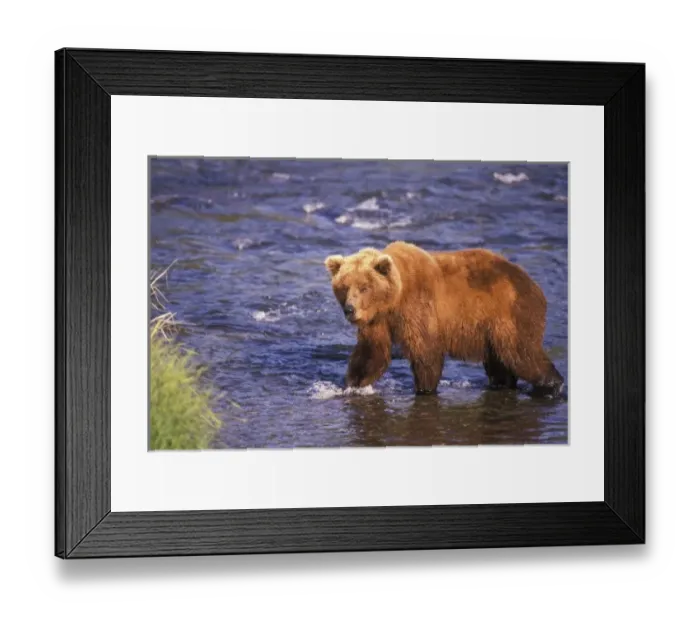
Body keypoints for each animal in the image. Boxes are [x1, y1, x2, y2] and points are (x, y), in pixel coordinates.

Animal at [324, 241, 563, 396]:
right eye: (344, 287)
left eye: (364, 287)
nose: (350, 309)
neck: (394, 300)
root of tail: (533, 284)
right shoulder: (378, 320)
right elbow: (372, 353)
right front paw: (352, 385)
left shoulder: (418, 307)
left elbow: (426, 352)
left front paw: (424, 389)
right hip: (491, 329)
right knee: (500, 363)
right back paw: (502, 385)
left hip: (508, 314)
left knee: (521, 353)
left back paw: (552, 385)